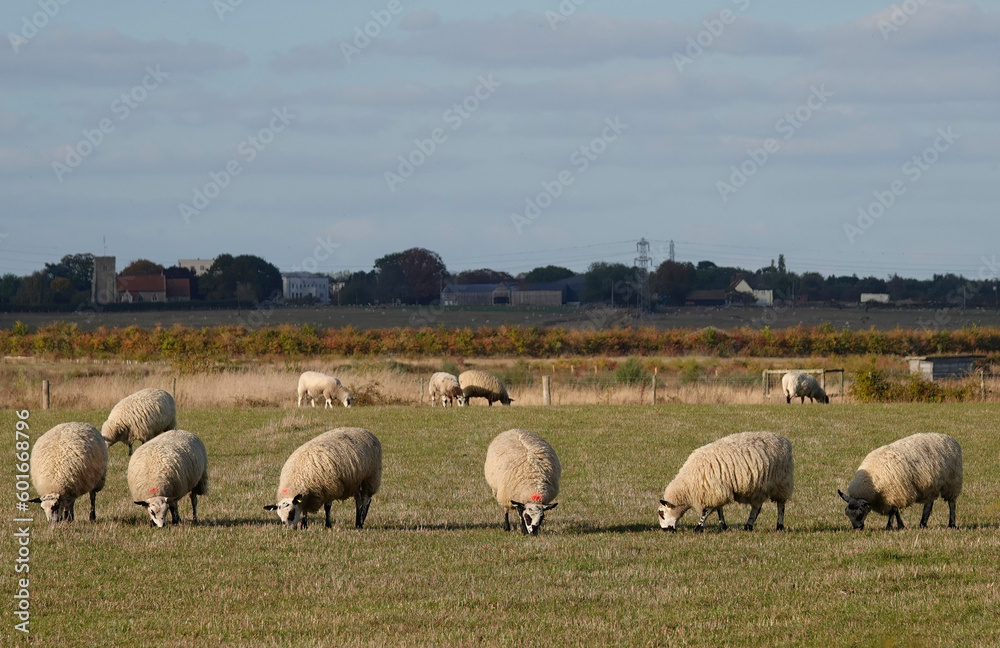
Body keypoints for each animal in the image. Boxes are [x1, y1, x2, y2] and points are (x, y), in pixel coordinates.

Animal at [658, 431, 794, 533]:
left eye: (661, 513)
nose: (665, 530)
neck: (687, 484)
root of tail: (784, 440)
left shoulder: (712, 490)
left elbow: (706, 511)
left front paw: (698, 528)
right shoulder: (717, 490)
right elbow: (719, 508)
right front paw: (722, 526)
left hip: (782, 482)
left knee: (781, 506)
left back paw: (779, 526)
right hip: (759, 486)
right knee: (757, 507)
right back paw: (748, 526)